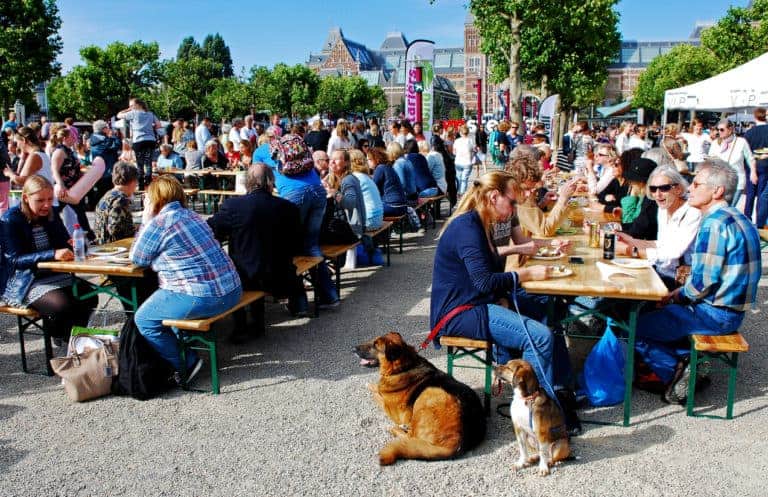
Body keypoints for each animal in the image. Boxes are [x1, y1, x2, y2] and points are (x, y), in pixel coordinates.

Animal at [356, 334, 486, 464]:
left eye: (375, 345)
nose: (354, 349)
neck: (404, 367)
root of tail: (458, 445)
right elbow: (377, 389)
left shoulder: (392, 411)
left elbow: (377, 395)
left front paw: (371, 387)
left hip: (429, 392)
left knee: (410, 436)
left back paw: (395, 428)